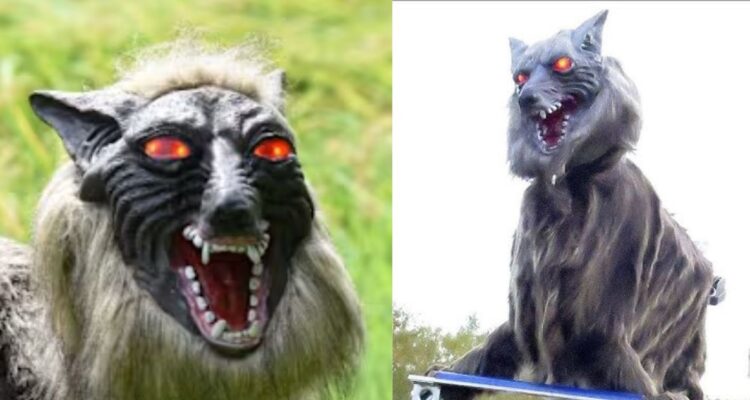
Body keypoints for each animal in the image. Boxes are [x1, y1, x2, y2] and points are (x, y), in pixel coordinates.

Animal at [436, 11, 723, 400]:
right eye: (520, 77)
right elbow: (491, 350)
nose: (525, 97)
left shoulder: (603, 325)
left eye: (562, 64)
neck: (568, 187)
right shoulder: (527, 310)